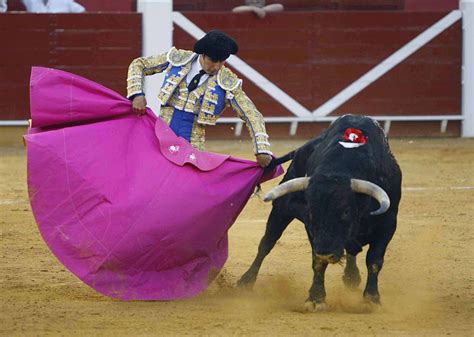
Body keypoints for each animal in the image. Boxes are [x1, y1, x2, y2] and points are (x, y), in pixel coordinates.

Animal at [239, 115, 402, 310]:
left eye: (346, 212)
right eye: (310, 212)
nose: (326, 253)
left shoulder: (388, 224)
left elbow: (374, 261)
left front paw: (371, 299)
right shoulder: (312, 230)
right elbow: (318, 262)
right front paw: (316, 298)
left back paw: (352, 277)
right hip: (281, 209)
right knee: (266, 243)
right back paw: (246, 281)